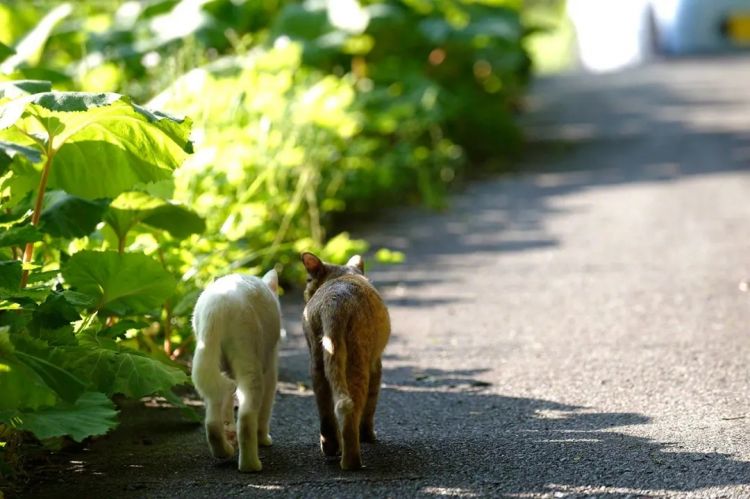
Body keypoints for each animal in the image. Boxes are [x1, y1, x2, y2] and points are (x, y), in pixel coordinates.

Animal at [191, 270, 282, 472]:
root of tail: (216, 306)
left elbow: (227, 407)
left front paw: (229, 429)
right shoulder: (270, 368)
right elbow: (265, 411)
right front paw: (264, 439)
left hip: (211, 364)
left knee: (212, 422)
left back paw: (224, 450)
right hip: (251, 367)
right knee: (247, 418)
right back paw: (251, 465)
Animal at [302, 252, 390, 470]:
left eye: (308, 280)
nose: (305, 291)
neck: (342, 274)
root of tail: (333, 303)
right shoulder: (376, 364)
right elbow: (370, 408)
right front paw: (368, 436)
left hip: (318, 364)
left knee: (326, 412)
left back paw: (331, 448)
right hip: (359, 364)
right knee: (350, 410)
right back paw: (352, 462)